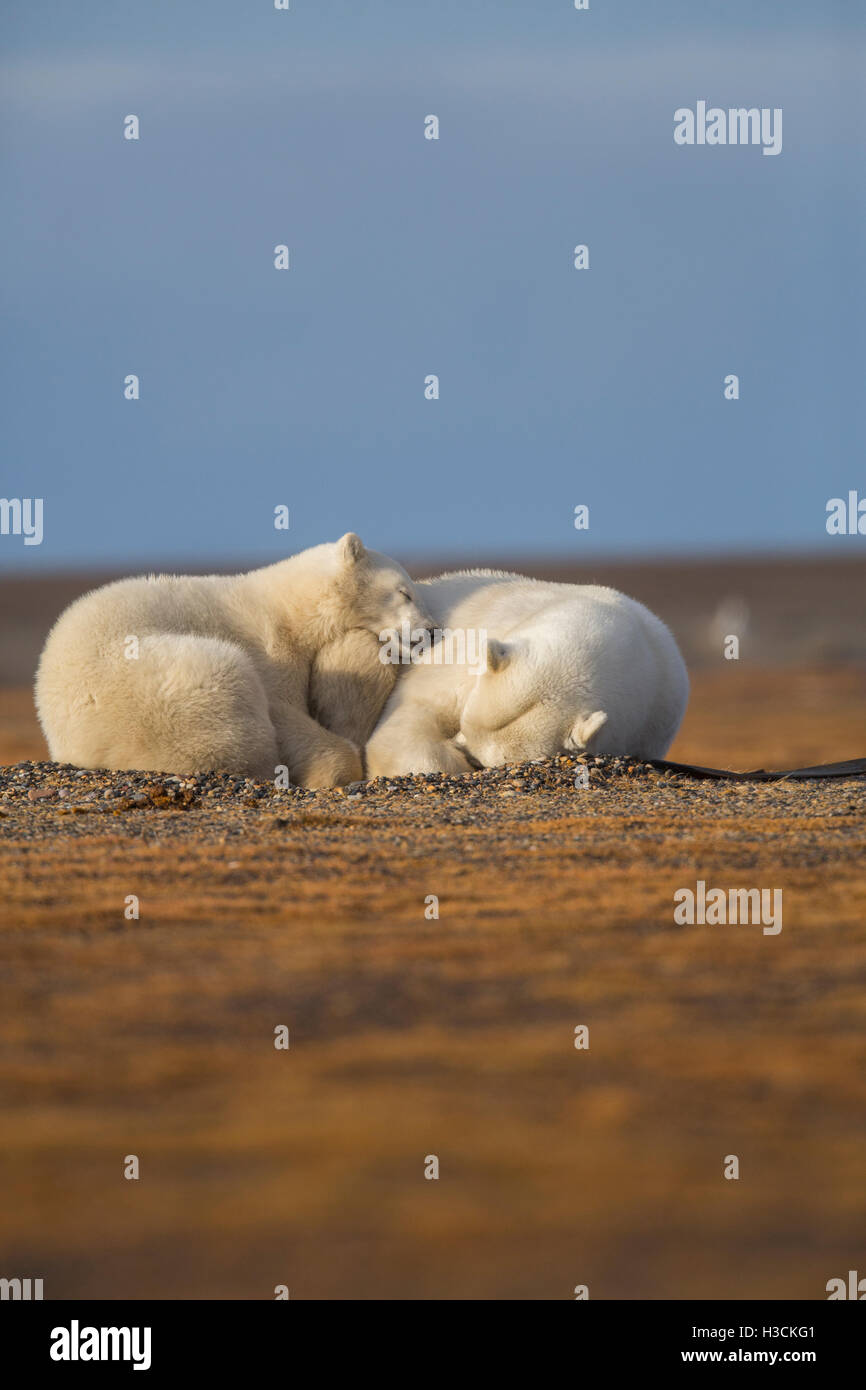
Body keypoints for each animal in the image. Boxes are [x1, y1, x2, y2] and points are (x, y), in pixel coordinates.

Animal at [36, 536, 430, 789]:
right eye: (404, 592)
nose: (430, 629)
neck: (293, 610)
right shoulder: (271, 648)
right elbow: (282, 711)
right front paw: (333, 770)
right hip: (172, 685)